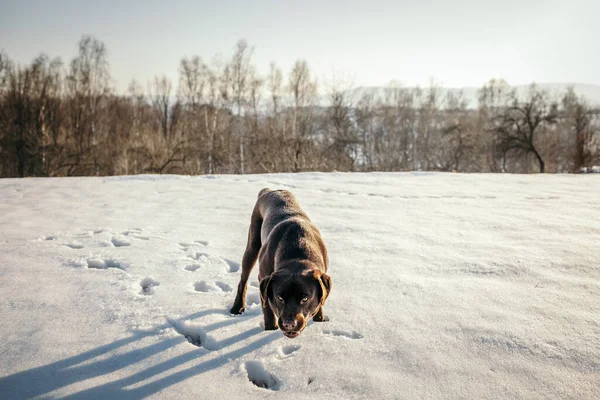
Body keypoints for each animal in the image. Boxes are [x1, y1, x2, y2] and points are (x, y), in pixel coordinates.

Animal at [231, 189, 332, 340]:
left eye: (305, 298)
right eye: (280, 297)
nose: (289, 323)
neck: (297, 252)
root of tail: (269, 190)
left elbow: (320, 304)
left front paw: (320, 320)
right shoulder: (264, 278)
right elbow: (267, 308)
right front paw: (270, 329)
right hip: (252, 245)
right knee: (244, 279)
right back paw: (237, 307)